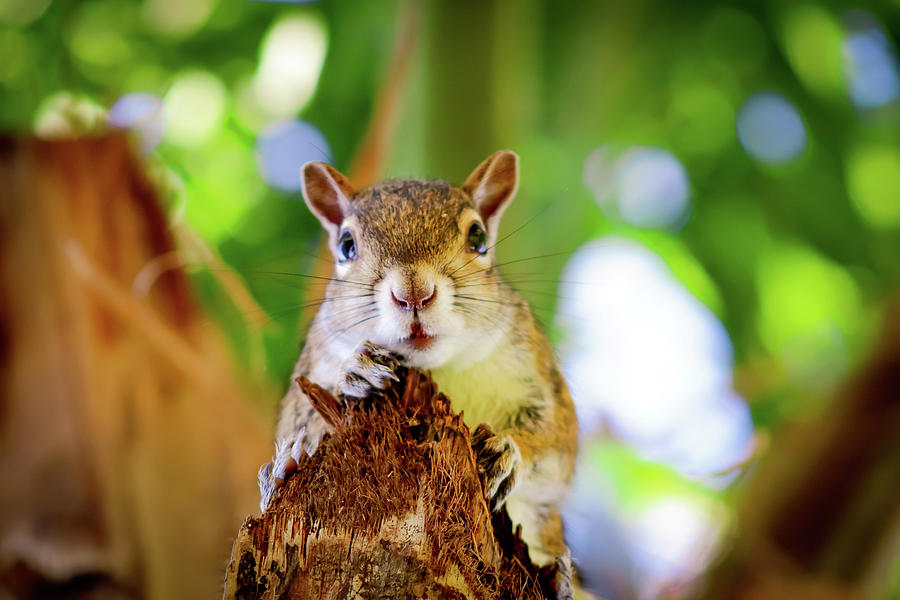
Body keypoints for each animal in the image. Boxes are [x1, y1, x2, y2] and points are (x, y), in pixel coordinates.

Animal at [258, 151, 584, 596]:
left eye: (478, 238)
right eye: (345, 246)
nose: (414, 293)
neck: (437, 367)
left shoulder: (537, 371)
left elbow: (557, 443)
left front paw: (505, 451)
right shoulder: (312, 366)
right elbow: (300, 415)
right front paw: (354, 372)